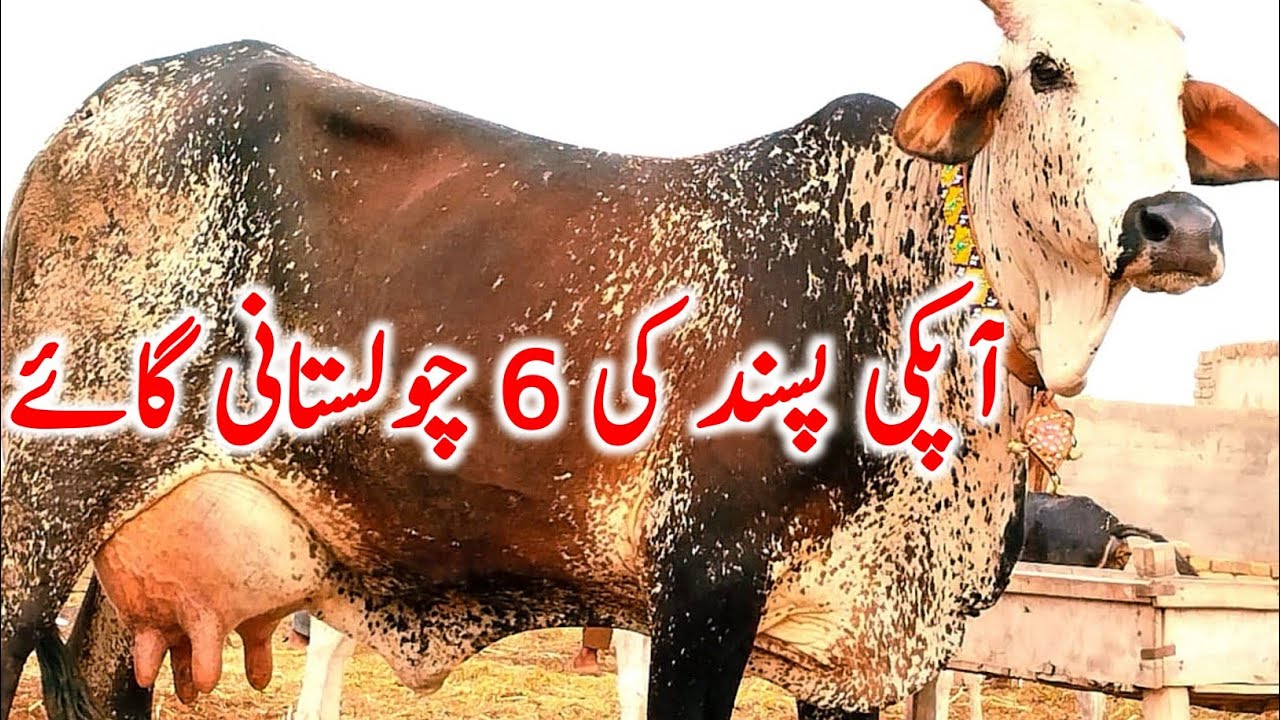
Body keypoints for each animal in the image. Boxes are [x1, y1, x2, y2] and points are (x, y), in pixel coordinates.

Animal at [2, 0, 1276, 718]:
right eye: (1046, 70)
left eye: (1180, 94)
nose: (1177, 226)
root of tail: (92, 115)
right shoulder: (701, 586)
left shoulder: (858, 647)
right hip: (37, 509)